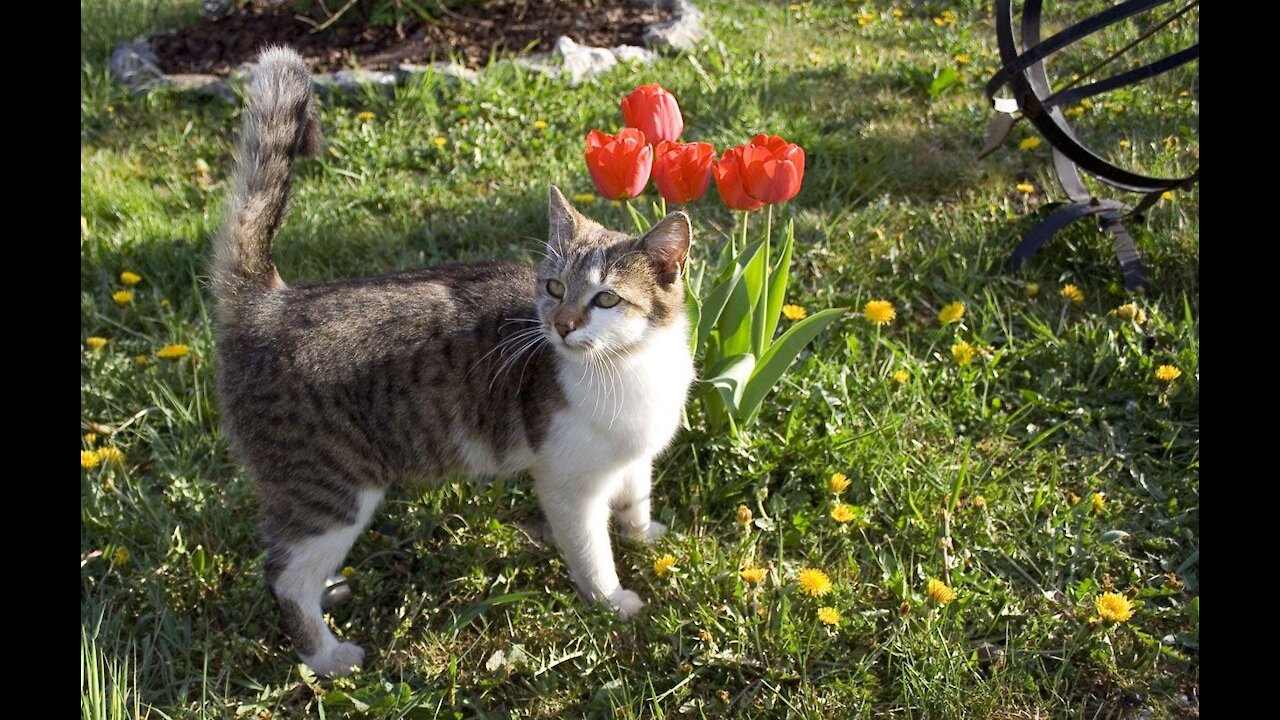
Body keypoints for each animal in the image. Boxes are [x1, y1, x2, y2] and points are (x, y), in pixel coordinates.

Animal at [209, 47, 696, 676]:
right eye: (554, 288)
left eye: (606, 298)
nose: (562, 325)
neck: (628, 368)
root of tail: (271, 302)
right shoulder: (569, 486)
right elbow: (592, 552)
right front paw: (612, 601)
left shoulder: (634, 459)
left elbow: (635, 500)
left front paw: (646, 534)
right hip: (329, 488)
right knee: (283, 574)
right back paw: (327, 656)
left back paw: (330, 590)